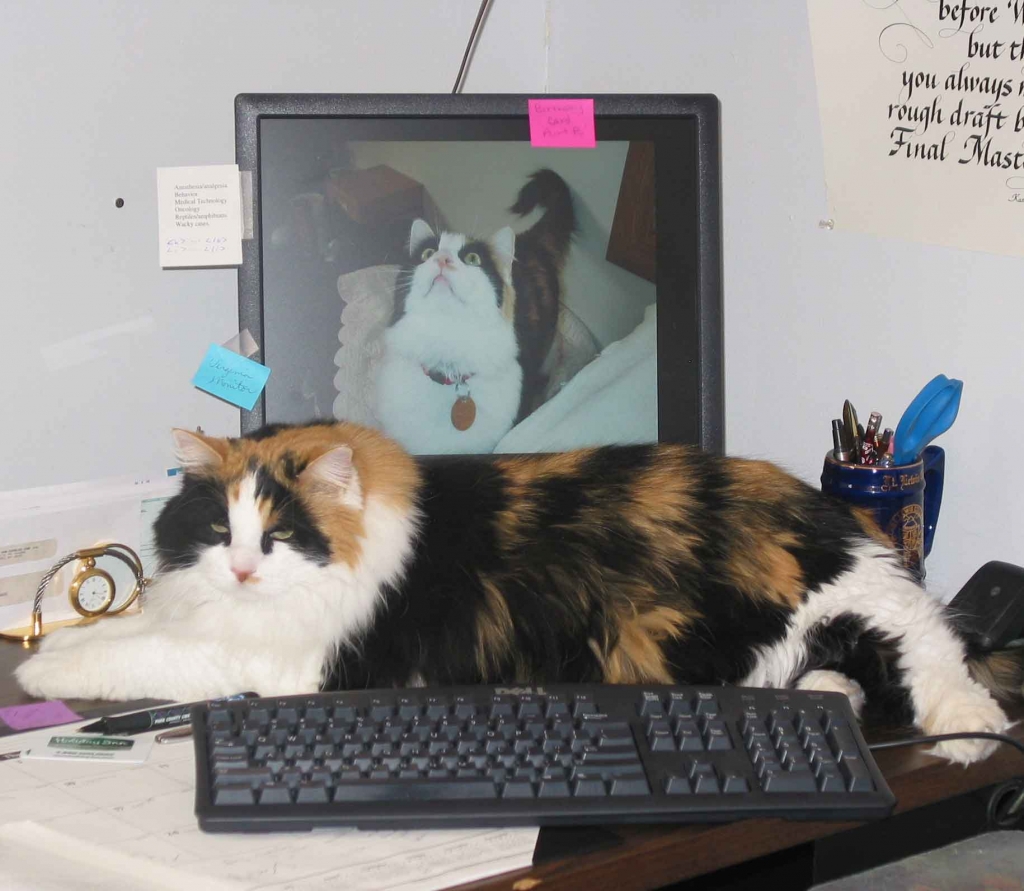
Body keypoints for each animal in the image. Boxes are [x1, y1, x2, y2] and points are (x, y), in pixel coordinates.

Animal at [18, 419, 1024, 766]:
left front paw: (38, 670)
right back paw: (834, 692)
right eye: (219, 531)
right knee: (853, 667)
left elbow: (138, 654)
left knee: (933, 650)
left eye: (280, 536)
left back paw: (968, 732)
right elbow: (137, 626)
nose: (240, 568)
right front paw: (53, 648)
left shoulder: (278, 660)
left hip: (842, 598)